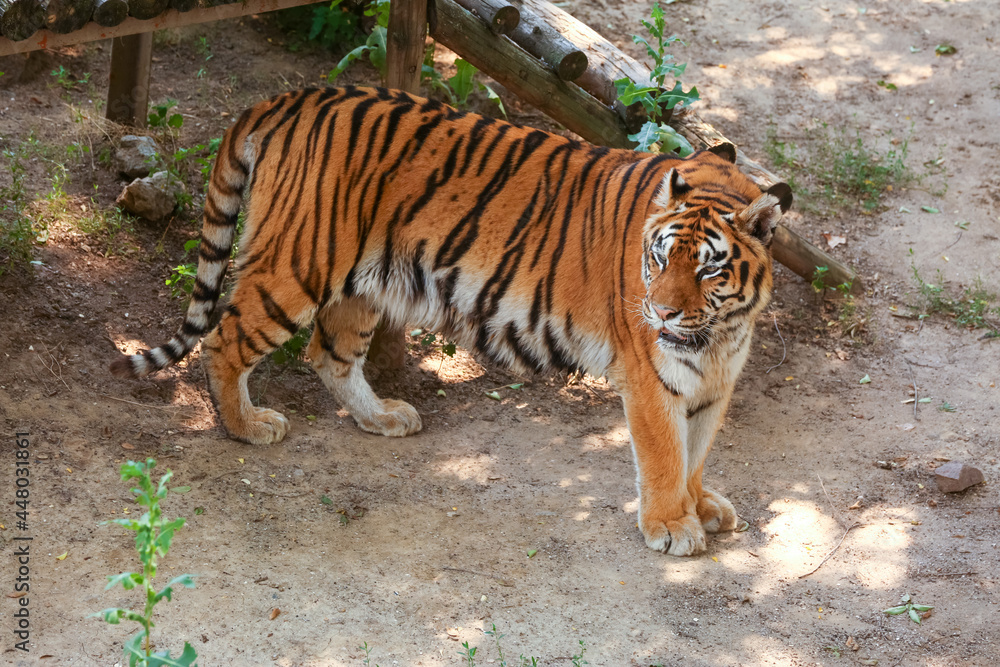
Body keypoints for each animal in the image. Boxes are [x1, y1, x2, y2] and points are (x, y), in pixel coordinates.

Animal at [111, 86, 792, 556]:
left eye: (707, 269)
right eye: (659, 257)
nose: (662, 311)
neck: (720, 329)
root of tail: (289, 98)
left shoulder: (715, 378)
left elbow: (696, 451)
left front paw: (700, 506)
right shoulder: (652, 376)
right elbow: (664, 453)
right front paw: (672, 525)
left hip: (363, 281)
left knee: (328, 355)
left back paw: (382, 417)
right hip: (296, 265)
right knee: (224, 340)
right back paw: (247, 426)